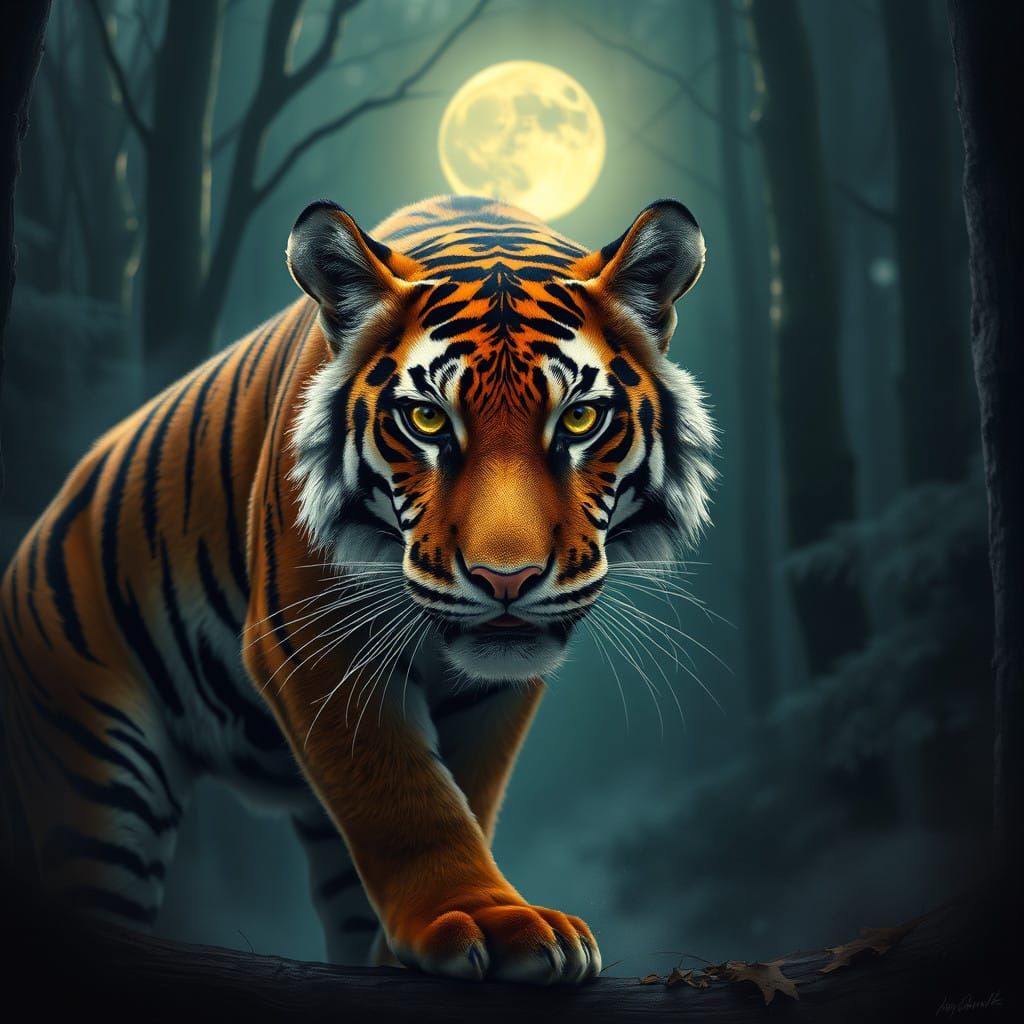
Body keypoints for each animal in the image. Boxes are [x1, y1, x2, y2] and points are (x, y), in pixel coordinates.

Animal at [0, 194, 714, 984]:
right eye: (427, 419)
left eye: (580, 418)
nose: (507, 579)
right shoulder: (311, 638)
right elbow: (405, 795)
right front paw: (488, 922)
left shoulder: (495, 695)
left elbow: (463, 792)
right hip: (94, 770)